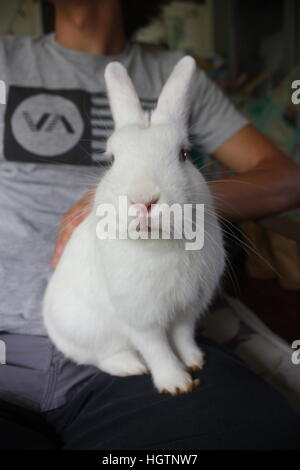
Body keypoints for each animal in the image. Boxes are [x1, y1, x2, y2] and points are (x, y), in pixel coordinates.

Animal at [42, 57, 225, 394]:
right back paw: (130, 366)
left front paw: (194, 361)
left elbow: (182, 337)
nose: (144, 199)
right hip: (87, 332)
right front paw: (176, 384)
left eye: (184, 154)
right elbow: (158, 350)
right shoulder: (141, 319)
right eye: (113, 159)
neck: (158, 245)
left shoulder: (187, 309)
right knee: (101, 356)